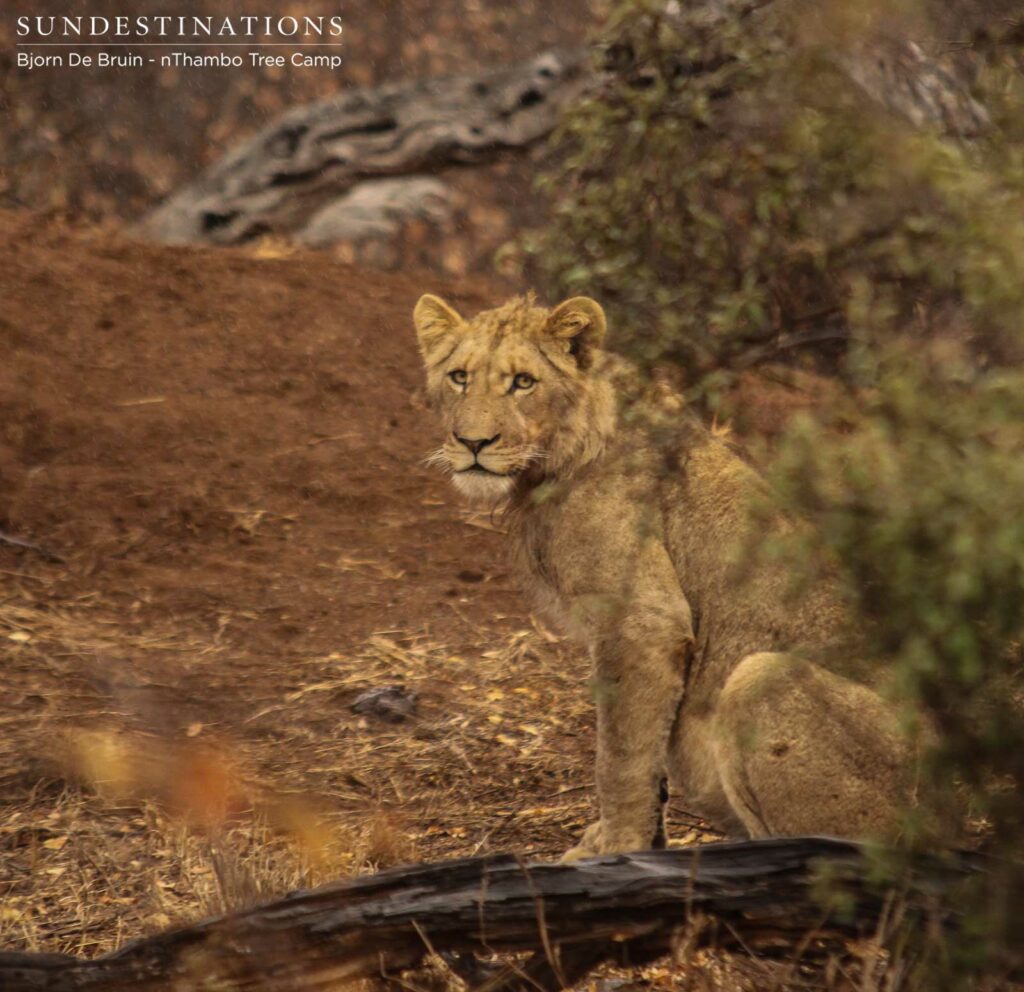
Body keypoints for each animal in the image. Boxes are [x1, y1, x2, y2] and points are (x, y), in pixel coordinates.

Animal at [413, 292, 923, 859]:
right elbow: (647, 758)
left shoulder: (642, 622)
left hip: (761, 677)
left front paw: (618, 847)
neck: (554, 462)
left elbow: (619, 756)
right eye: (459, 377)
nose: (472, 443)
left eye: (523, 382)